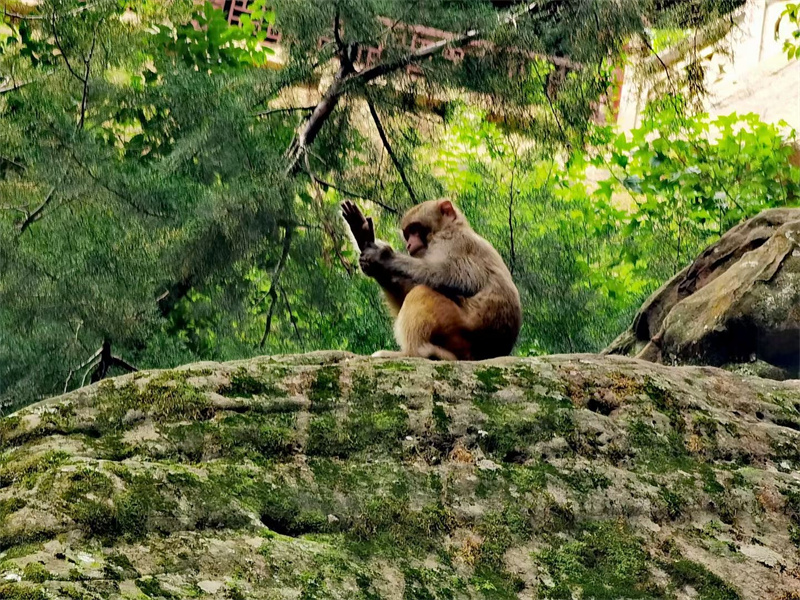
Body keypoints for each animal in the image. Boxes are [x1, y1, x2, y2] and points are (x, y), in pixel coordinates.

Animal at [340, 199, 520, 360]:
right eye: (408, 234)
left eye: (415, 229)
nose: (409, 244)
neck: (453, 226)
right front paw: (363, 237)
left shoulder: (451, 241)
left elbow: (452, 276)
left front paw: (382, 257)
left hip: (458, 329)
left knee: (422, 292)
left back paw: (411, 353)